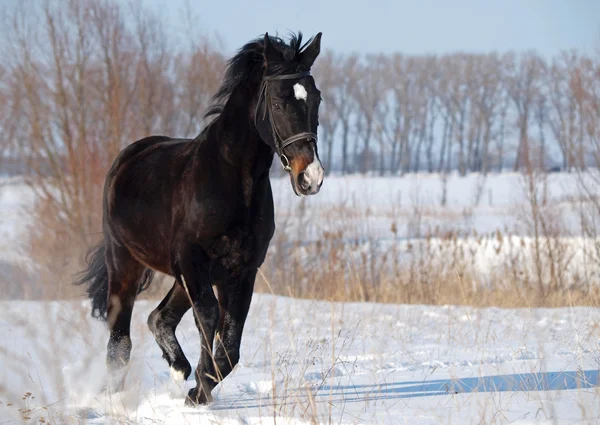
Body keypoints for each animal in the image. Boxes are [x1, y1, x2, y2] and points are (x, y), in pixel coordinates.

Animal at [77, 30, 326, 404]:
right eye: (278, 101)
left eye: (316, 99)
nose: (310, 177)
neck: (232, 182)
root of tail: (126, 159)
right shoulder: (193, 261)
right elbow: (208, 319)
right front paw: (199, 390)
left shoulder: (241, 269)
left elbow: (230, 341)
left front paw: (200, 389)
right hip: (126, 263)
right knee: (120, 339)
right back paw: (116, 396)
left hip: (183, 276)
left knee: (159, 318)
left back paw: (179, 369)